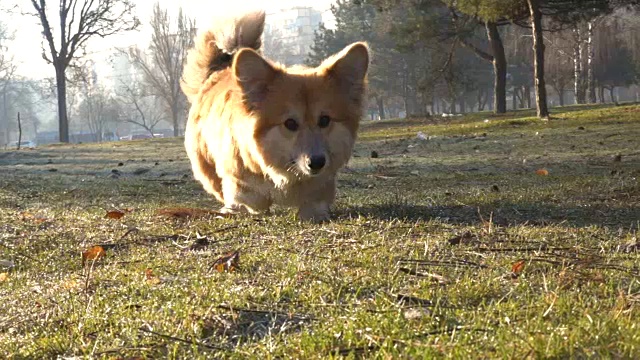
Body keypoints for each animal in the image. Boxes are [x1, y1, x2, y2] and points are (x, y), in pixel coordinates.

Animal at [180, 10, 370, 222]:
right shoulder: (241, 189)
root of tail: (220, 71)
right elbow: (247, 202)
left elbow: (314, 206)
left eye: (324, 120)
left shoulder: (319, 193)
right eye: (290, 123)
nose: (317, 162)